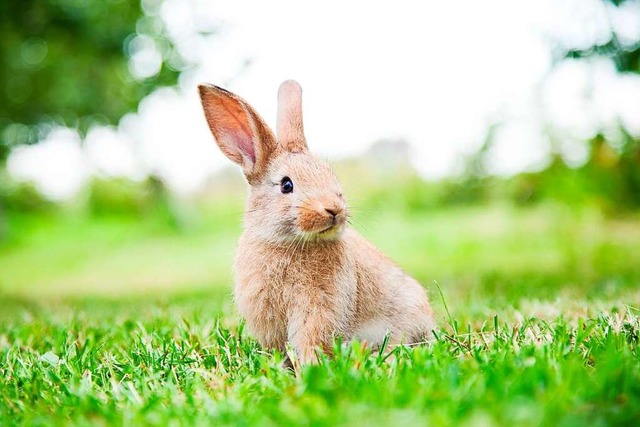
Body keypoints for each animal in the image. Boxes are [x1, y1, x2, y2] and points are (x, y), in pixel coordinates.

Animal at [199, 79, 436, 364]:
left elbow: (310, 340)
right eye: (286, 185)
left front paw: (311, 366)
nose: (334, 209)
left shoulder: (318, 308)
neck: (287, 243)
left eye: (329, 174)